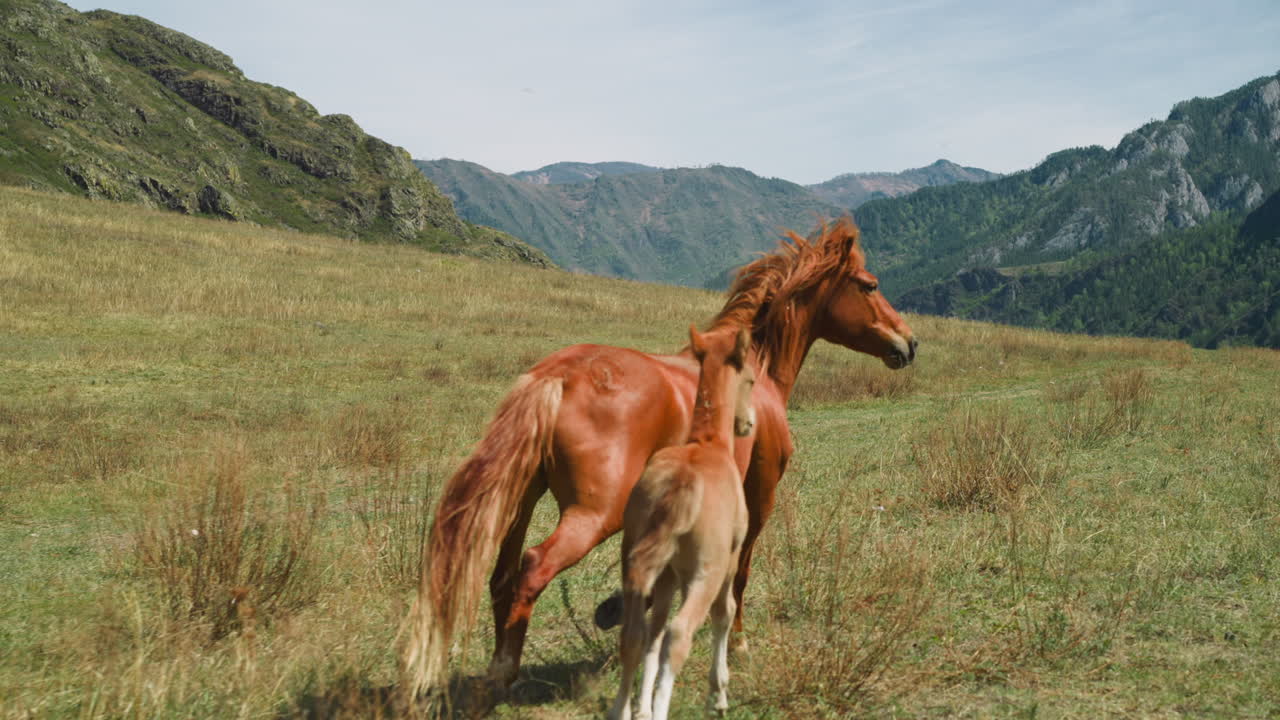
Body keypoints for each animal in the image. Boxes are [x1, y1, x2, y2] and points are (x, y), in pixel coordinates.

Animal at [608, 324, 755, 720]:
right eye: (752, 379)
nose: (748, 423)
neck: (708, 443)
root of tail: (681, 486)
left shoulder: (666, 575)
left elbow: (652, 633)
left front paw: (641, 707)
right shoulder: (730, 558)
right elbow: (724, 612)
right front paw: (719, 692)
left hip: (635, 564)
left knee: (634, 634)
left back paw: (621, 710)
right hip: (706, 573)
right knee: (679, 634)